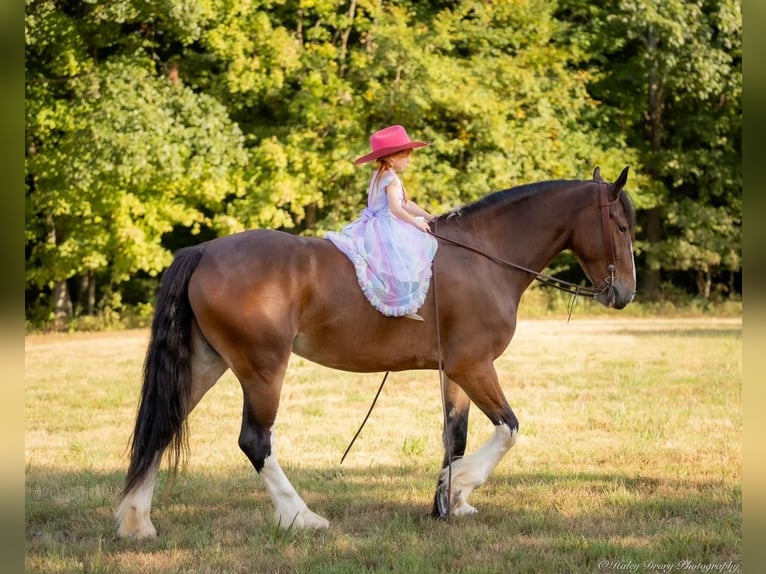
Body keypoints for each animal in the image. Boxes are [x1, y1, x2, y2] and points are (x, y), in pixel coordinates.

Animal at [115, 166, 636, 540]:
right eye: (620, 226)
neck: (483, 257)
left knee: (162, 428)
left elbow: (456, 438)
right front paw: (457, 488)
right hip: (262, 368)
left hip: (206, 363)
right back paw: (301, 517)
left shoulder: (456, 372)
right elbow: (508, 430)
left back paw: (137, 522)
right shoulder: (474, 366)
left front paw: (449, 502)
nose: (624, 293)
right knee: (255, 441)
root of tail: (202, 251)